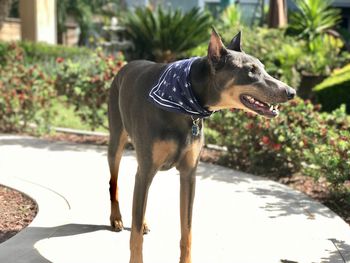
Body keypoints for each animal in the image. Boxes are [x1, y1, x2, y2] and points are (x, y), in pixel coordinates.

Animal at [106, 28, 296, 263]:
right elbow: (136, 236)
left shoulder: (189, 174)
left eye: (263, 68)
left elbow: (186, 230)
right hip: (116, 140)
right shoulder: (149, 167)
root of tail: (126, 66)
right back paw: (116, 218)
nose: (291, 92)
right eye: (250, 71)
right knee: (115, 182)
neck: (185, 105)